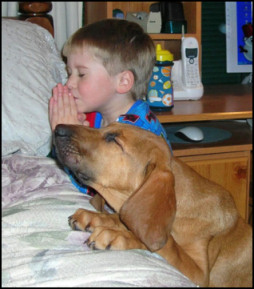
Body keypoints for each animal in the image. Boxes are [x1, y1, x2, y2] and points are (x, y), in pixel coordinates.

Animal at [53, 122, 252, 286]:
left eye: (114, 140)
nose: (57, 129)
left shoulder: (200, 275)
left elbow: (165, 244)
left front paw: (117, 235)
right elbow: (124, 217)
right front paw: (94, 217)